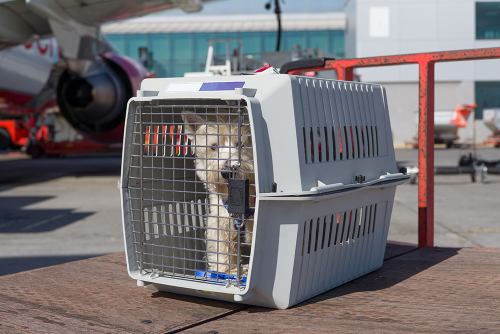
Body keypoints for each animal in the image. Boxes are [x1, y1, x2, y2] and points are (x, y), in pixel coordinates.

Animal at [183, 109, 256, 276]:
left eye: (240, 144)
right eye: (214, 146)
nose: (227, 172)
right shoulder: (221, 221)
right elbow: (223, 249)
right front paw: (226, 270)